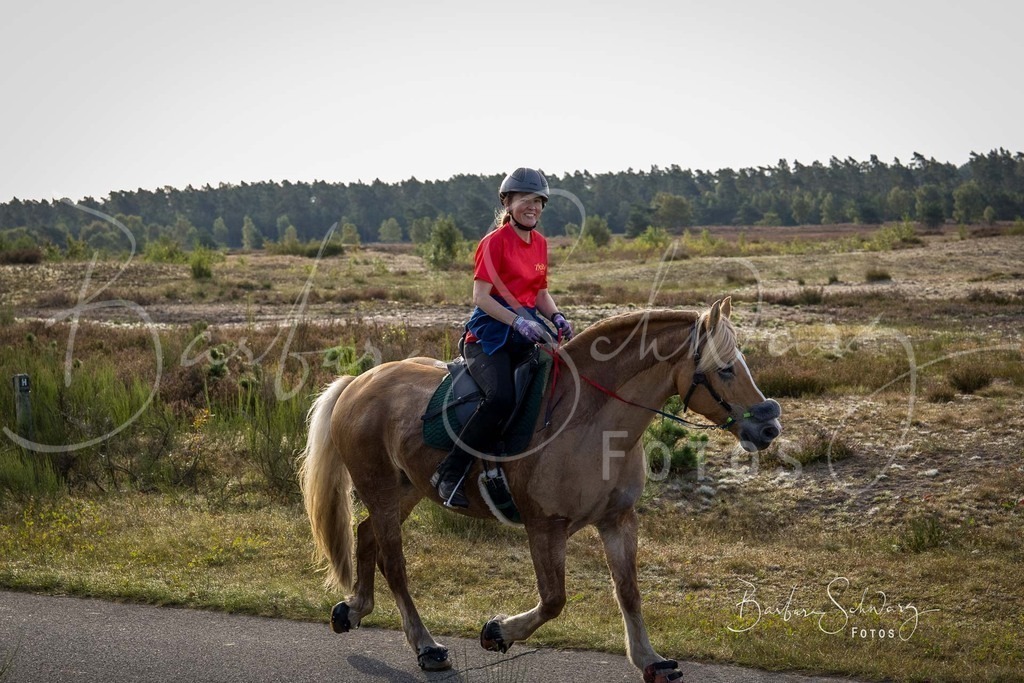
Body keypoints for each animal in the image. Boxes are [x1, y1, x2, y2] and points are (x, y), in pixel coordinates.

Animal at [298, 297, 782, 683]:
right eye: (725, 369)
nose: (769, 427)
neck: (594, 422)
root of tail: (358, 382)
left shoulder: (617, 520)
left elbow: (628, 590)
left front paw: (649, 659)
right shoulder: (545, 527)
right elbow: (553, 600)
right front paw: (497, 632)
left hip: (406, 490)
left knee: (366, 536)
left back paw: (354, 609)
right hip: (380, 489)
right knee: (395, 564)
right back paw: (426, 647)